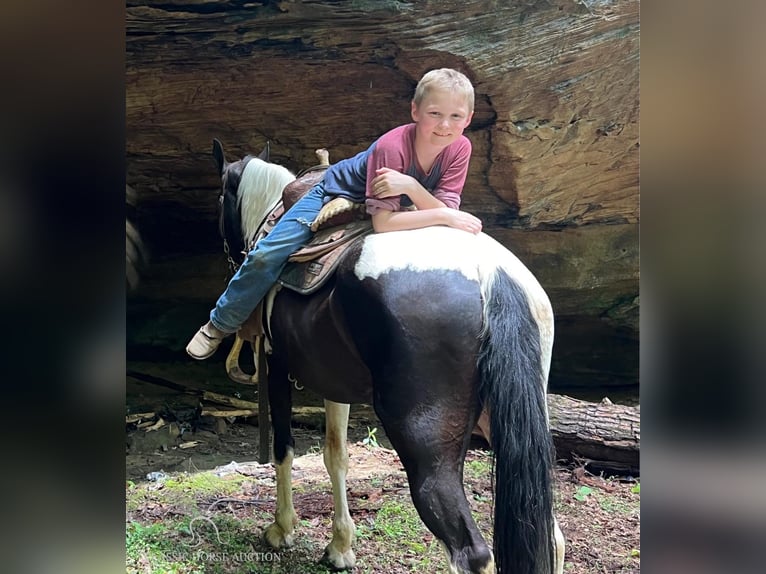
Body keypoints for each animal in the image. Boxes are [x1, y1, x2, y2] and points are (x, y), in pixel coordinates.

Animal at [213, 140, 568, 574]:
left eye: (219, 199)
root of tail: (490, 272)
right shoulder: (335, 382)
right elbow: (336, 455)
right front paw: (340, 546)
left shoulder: (278, 366)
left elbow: (284, 449)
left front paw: (282, 529)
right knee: (551, 538)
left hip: (423, 441)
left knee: (471, 551)